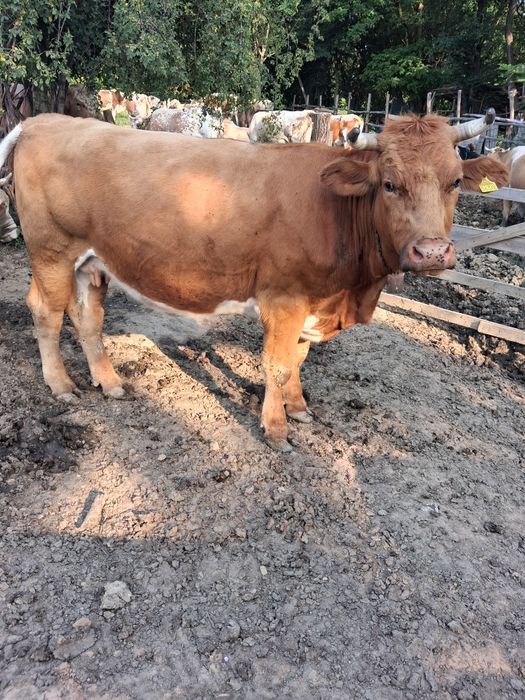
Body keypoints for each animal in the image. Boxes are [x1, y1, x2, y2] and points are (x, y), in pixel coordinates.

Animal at [0, 111, 508, 451]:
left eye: (455, 182)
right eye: (389, 184)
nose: (432, 252)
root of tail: (43, 121)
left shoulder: (312, 302)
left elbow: (299, 360)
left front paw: (299, 409)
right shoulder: (284, 297)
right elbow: (277, 364)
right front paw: (276, 427)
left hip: (91, 262)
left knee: (87, 318)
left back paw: (109, 383)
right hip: (51, 251)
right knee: (46, 312)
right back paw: (61, 385)